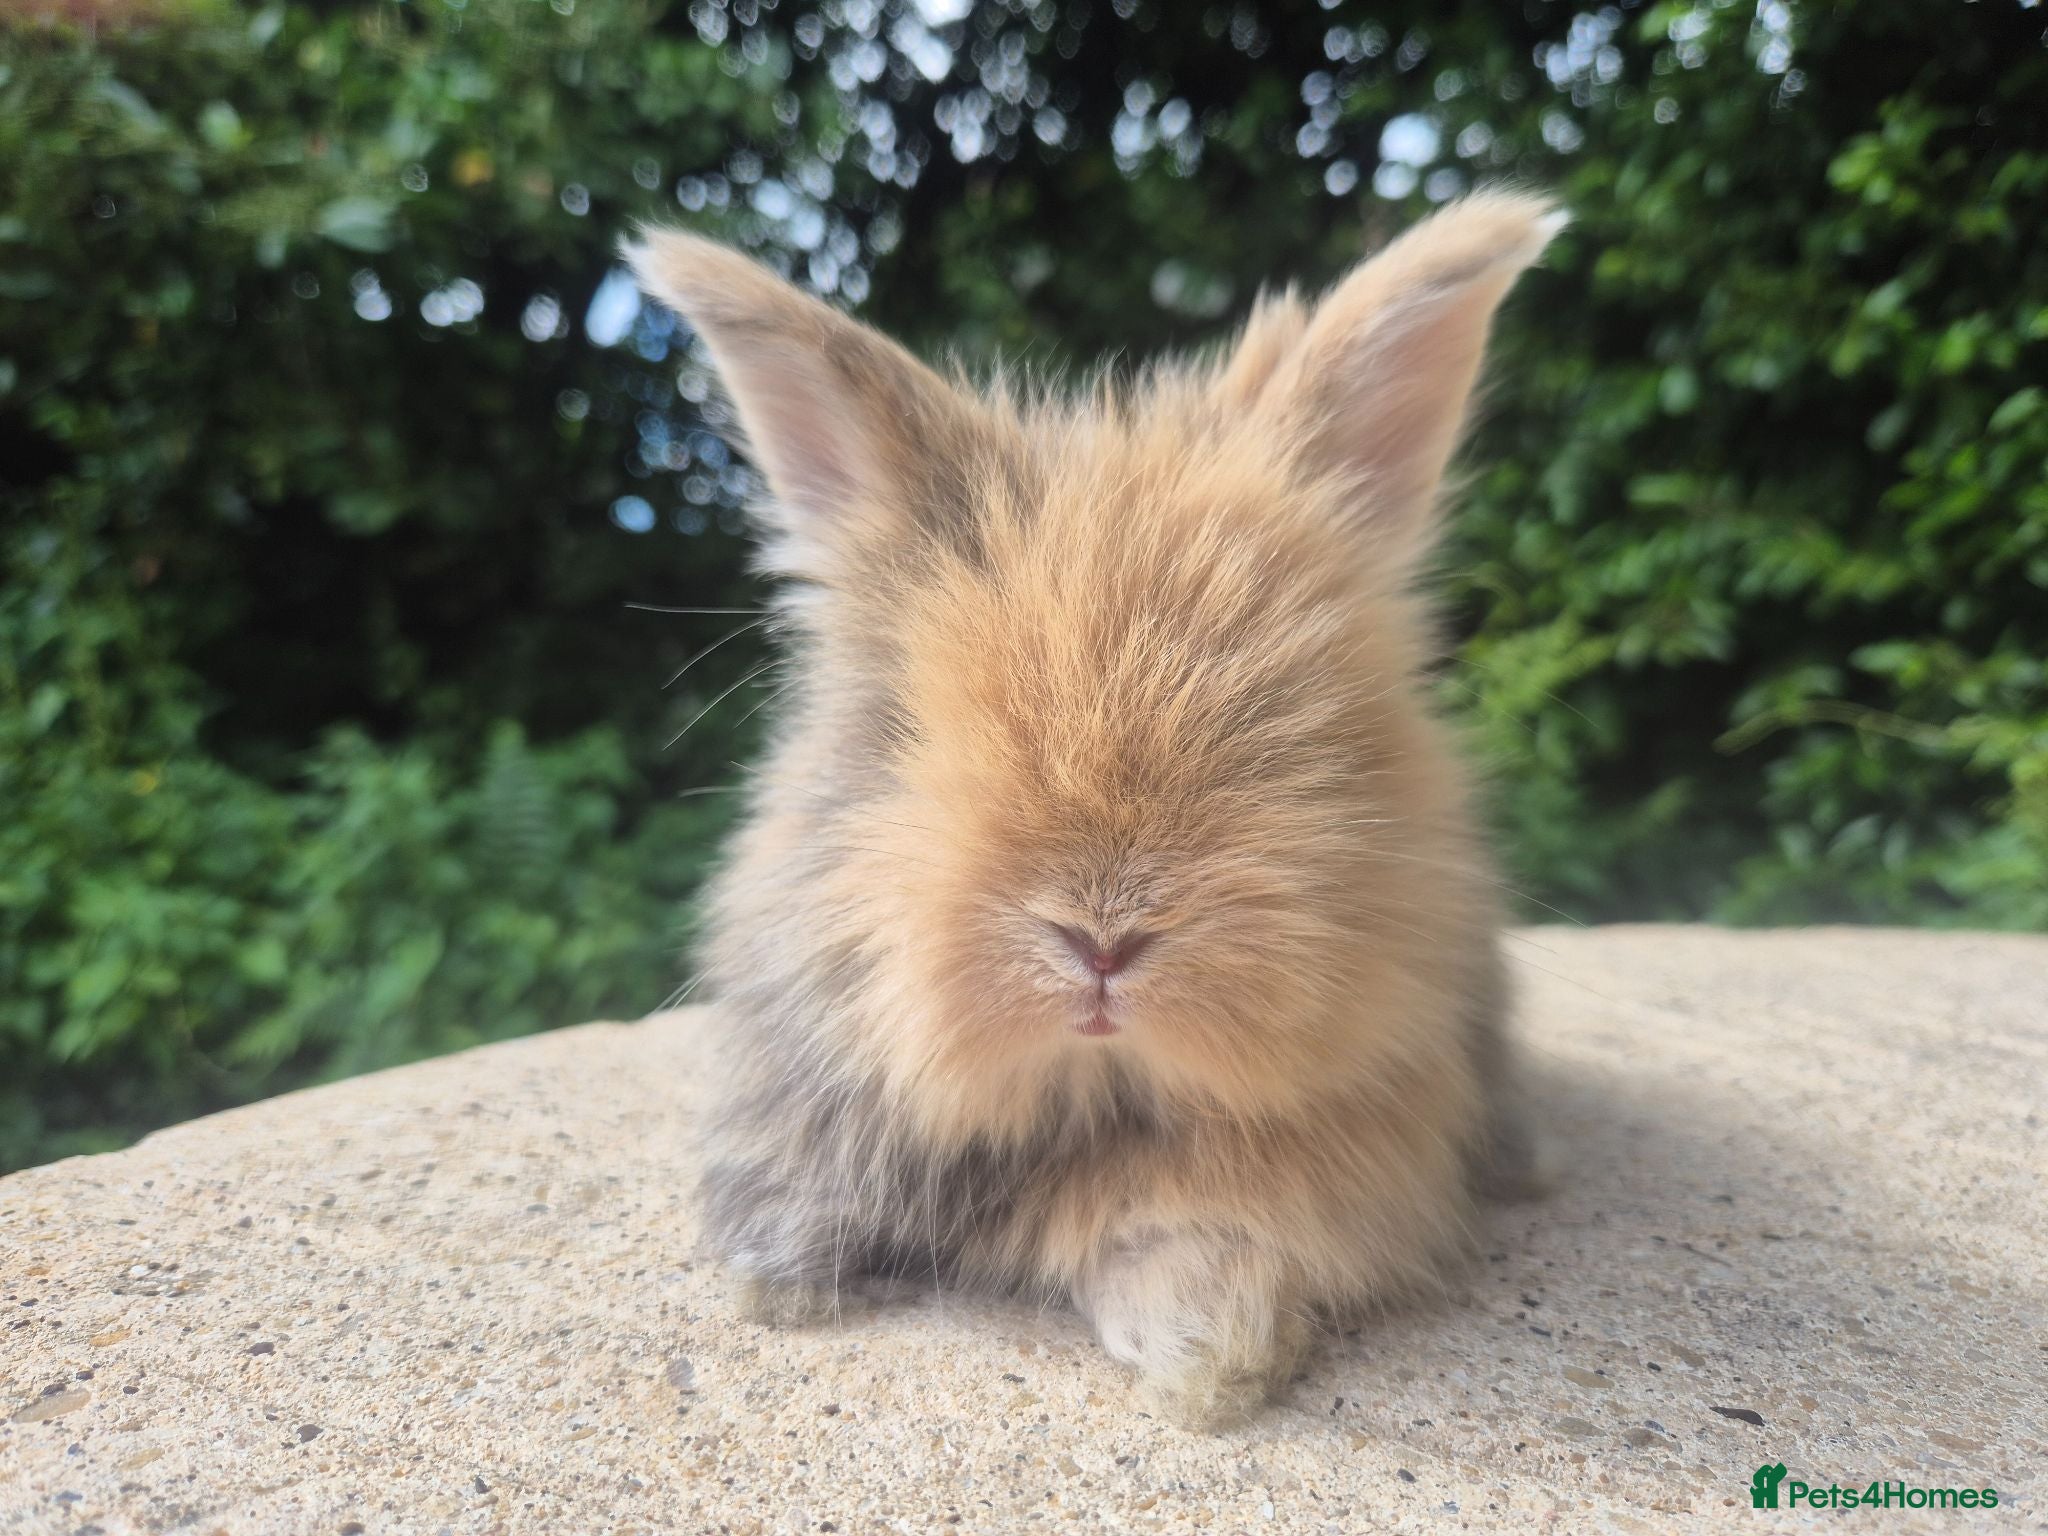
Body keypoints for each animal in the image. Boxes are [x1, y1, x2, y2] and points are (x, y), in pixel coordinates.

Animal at [625, 191, 1562, 1430]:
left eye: (1284, 720)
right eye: (907, 732)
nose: (1101, 941)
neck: (1086, 1091)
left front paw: (1205, 1357)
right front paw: (770, 1279)